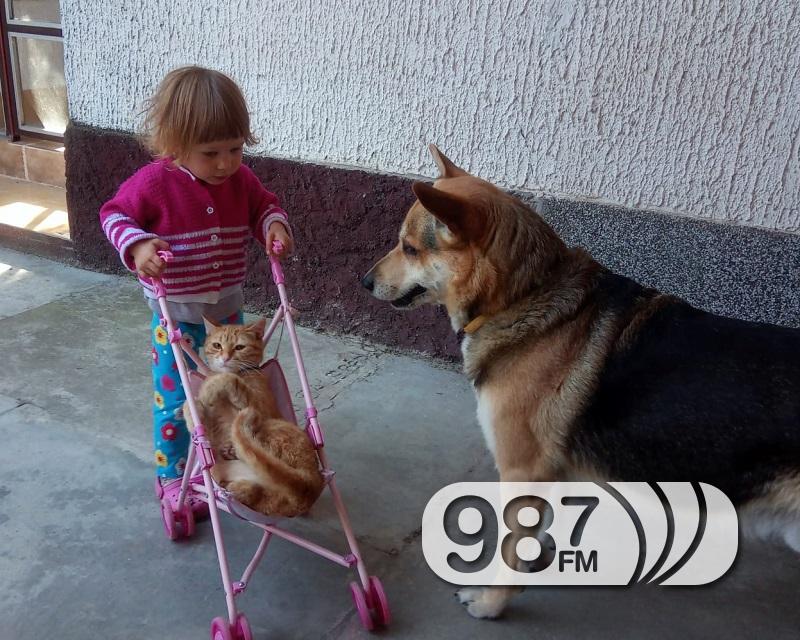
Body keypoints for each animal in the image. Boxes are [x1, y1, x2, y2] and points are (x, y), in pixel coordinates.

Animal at [184, 316, 324, 517]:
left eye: (239, 347)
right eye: (217, 345)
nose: (225, 358)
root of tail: (309, 486)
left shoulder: (258, 405)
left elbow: (227, 380)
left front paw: (209, 388)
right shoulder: (211, 430)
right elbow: (192, 407)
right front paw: (194, 413)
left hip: (271, 424)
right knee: (251, 491)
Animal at [362, 145, 800, 619]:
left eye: (409, 248)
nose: (364, 282)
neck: (524, 293)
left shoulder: (522, 472)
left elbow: (510, 549)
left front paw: (494, 601)